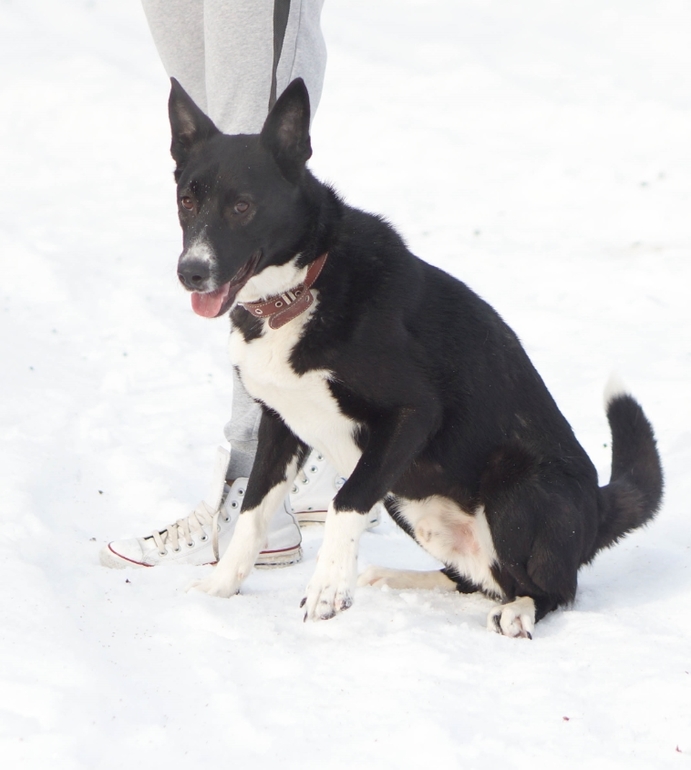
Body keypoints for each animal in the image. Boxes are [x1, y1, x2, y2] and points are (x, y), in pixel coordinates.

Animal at [169, 77, 663, 637]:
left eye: (242, 206)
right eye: (187, 200)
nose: (191, 271)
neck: (299, 292)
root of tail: (598, 507)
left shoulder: (413, 414)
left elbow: (345, 502)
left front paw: (327, 587)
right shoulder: (280, 426)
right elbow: (253, 513)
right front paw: (220, 586)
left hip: (516, 483)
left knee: (550, 589)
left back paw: (519, 611)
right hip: (409, 502)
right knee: (478, 578)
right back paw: (400, 577)